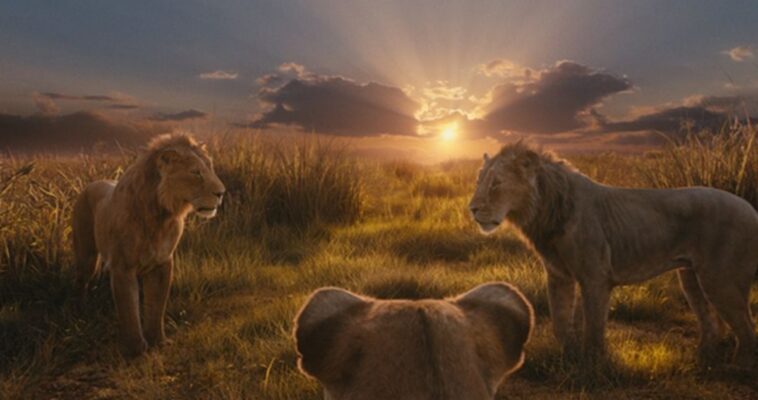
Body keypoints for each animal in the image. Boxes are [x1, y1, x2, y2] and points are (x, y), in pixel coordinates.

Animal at [71, 132, 225, 357]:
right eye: (196, 172)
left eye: (210, 168)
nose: (222, 193)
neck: (160, 216)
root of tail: (91, 184)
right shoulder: (122, 267)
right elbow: (129, 308)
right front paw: (135, 348)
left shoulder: (162, 263)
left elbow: (156, 306)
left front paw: (158, 341)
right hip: (86, 257)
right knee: (81, 281)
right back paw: (80, 313)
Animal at [469, 142, 757, 367]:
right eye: (478, 181)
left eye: (496, 183)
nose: (471, 209)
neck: (544, 211)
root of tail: (751, 209)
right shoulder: (559, 275)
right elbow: (560, 322)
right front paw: (569, 358)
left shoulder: (595, 277)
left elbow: (594, 327)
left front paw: (592, 367)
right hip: (691, 278)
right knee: (714, 323)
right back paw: (703, 362)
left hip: (720, 280)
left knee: (746, 328)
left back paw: (738, 369)